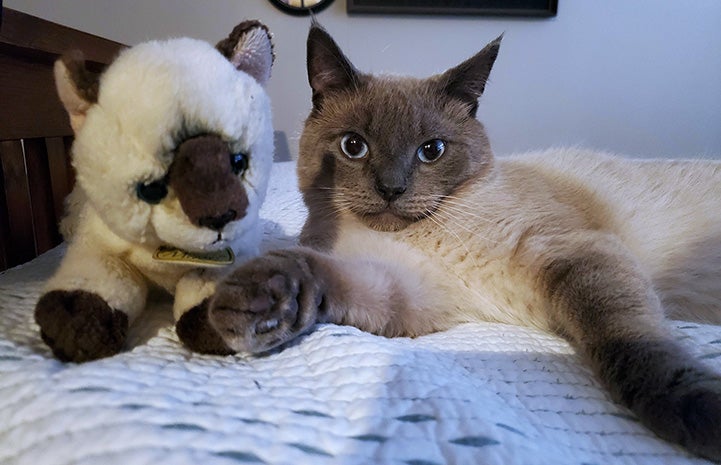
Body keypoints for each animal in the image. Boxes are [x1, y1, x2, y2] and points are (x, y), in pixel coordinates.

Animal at [188, 22, 720, 460]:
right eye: (353, 146)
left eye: (432, 151)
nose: (392, 189)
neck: (426, 237)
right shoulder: (411, 292)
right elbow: (313, 269)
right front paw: (231, 312)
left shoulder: (576, 254)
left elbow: (630, 344)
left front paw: (701, 413)